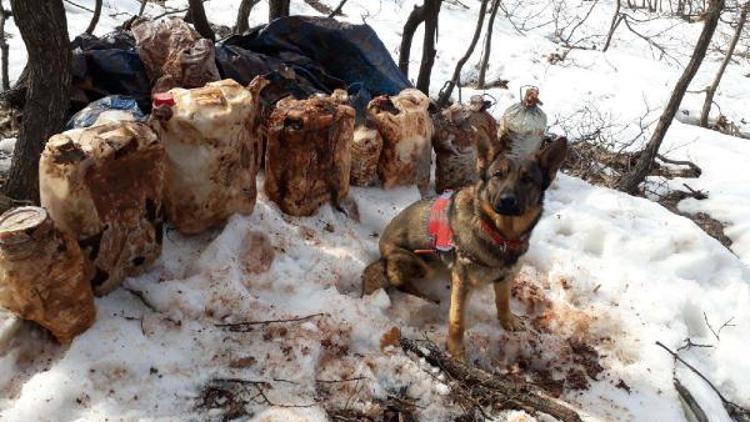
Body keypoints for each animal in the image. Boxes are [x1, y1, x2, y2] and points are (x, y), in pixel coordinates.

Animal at [362, 138, 568, 360]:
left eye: (527, 179)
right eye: (498, 175)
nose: (507, 200)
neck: (498, 234)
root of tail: (382, 248)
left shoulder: (505, 278)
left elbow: (503, 302)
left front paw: (508, 320)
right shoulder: (463, 283)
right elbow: (457, 320)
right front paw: (456, 351)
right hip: (418, 263)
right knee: (398, 281)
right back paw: (425, 297)